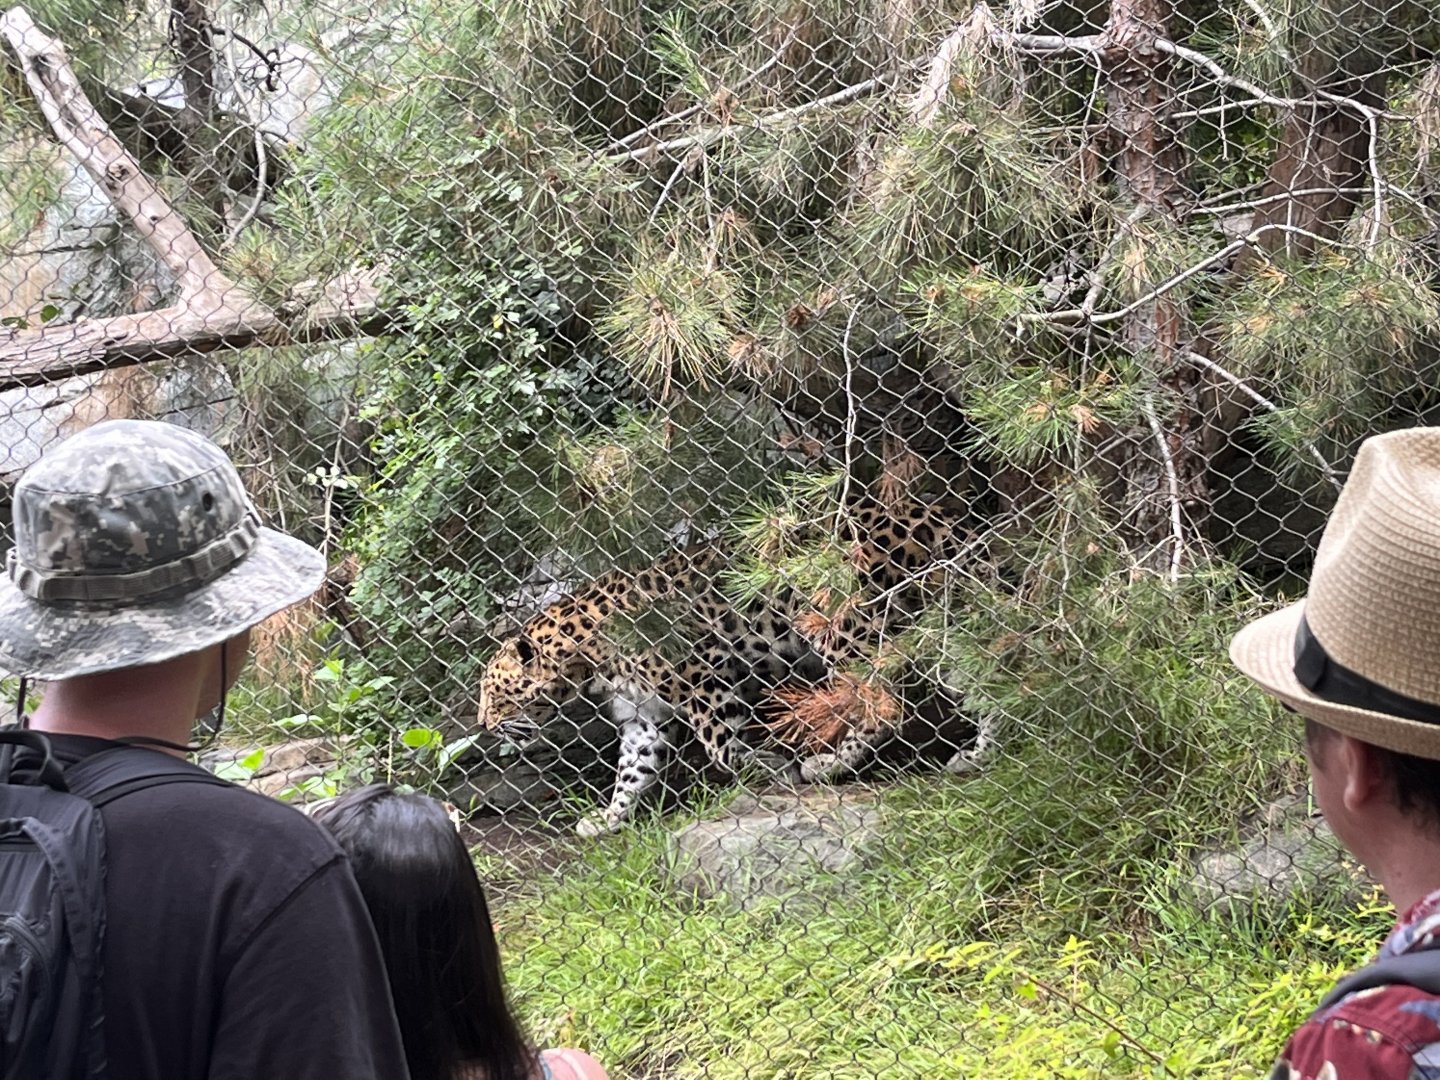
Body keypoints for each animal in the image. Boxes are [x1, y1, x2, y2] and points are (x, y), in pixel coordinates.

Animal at [476, 496, 987, 836]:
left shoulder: (702, 672)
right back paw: (980, 757)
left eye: (495, 696)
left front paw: (765, 765)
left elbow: (719, 741)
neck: (583, 658)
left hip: (849, 629)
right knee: (983, 679)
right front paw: (607, 819)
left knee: (883, 703)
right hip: (940, 619)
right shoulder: (643, 716)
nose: (482, 723)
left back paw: (828, 765)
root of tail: (925, 518)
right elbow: (633, 771)